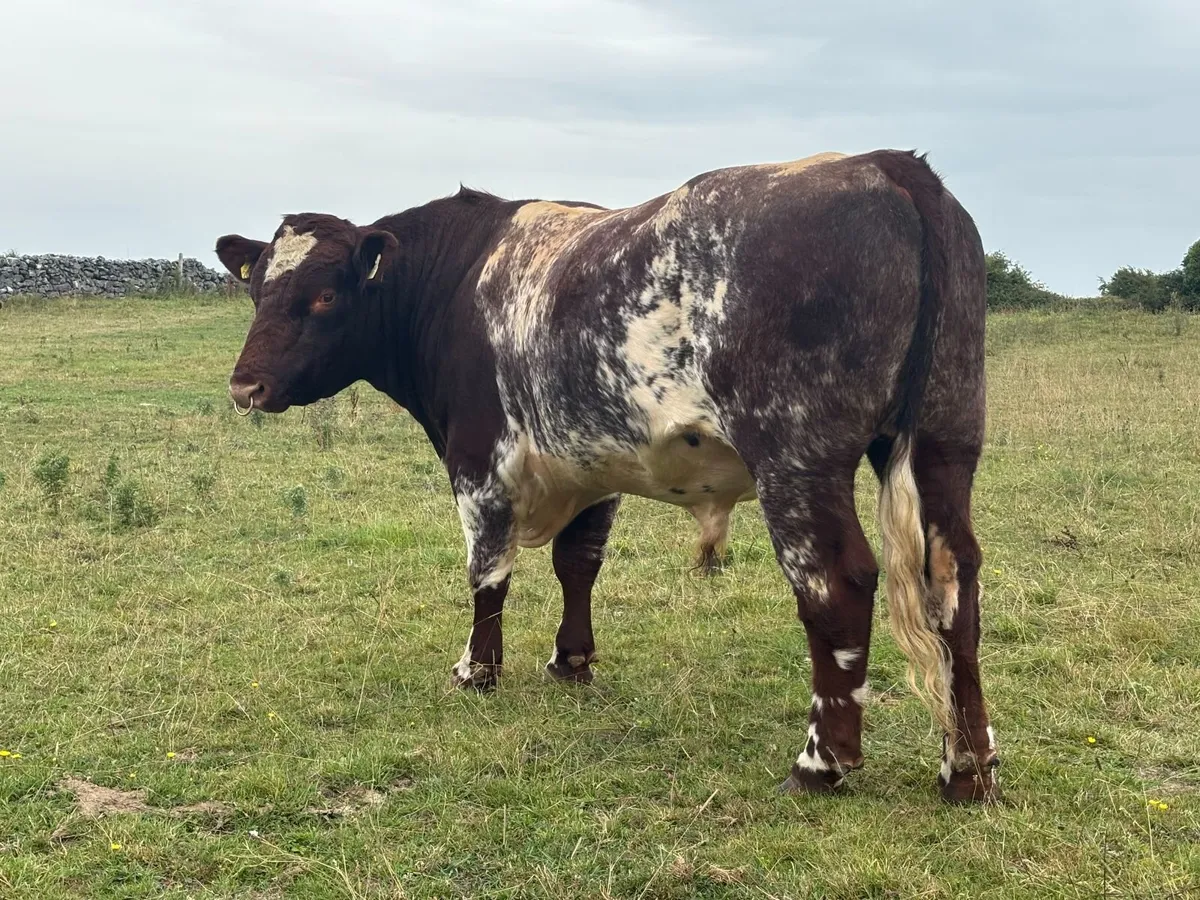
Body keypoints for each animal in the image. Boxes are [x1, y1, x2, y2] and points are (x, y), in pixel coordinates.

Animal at [215, 149, 998, 802]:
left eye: (324, 296)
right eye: (258, 294)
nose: (246, 386)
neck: (453, 280)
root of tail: (884, 164)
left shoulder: (479, 459)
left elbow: (487, 571)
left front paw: (477, 671)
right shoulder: (590, 461)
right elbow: (578, 562)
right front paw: (571, 661)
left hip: (797, 457)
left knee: (836, 585)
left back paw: (821, 763)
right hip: (945, 441)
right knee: (953, 576)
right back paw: (968, 768)